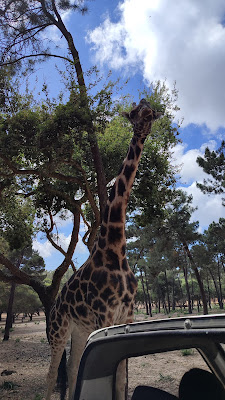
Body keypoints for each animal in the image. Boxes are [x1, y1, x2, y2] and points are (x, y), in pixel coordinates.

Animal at [46, 97, 162, 400]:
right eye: (133, 112)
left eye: (149, 106)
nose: (147, 113)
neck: (116, 249)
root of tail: (55, 304)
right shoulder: (104, 315)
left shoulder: (127, 315)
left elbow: (121, 381)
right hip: (58, 330)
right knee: (52, 375)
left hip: (78, 330)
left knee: (73, 369)